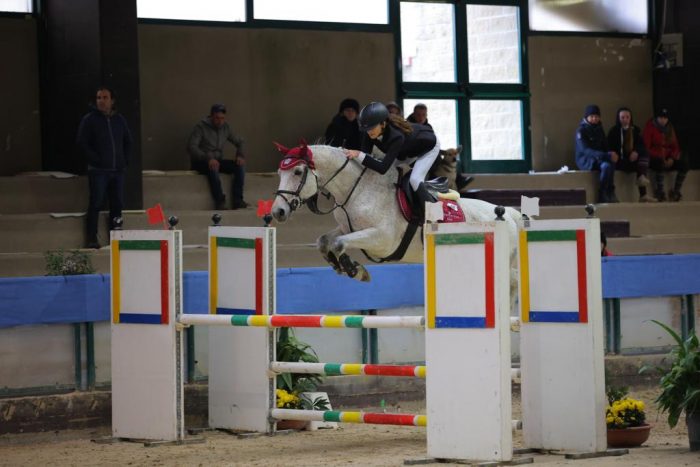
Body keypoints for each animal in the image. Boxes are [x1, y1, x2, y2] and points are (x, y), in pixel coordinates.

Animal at [272, 142, 522, 290]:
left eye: (297, 171)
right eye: (279, 173)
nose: (277, 212)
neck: (359, 189)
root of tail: (508, 213)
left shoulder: (382, 240)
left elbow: (339, 243)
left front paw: (354, 269)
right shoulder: (347, 229)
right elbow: (325, 241)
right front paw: (346, 267)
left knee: (514, 282)